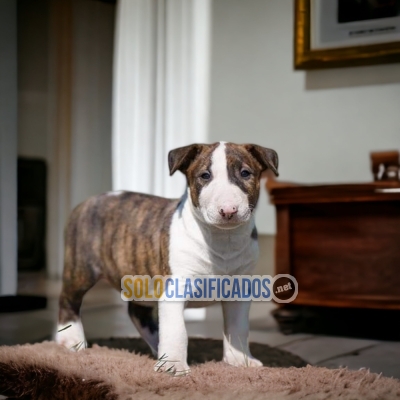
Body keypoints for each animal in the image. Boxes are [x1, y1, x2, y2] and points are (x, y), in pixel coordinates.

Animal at [54, 142, 278, 376]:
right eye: (205, 176)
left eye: (245, 173)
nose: (228, 210)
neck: (222, 239)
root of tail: (88, 201)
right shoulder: (174, 288)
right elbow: (177, 330)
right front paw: (174, 366)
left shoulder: (239, 291)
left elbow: (238, 327)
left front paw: (240, 361)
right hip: (81, 269)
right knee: (68, 300)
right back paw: (70, 339)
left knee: (138, 312)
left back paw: (157, 346)